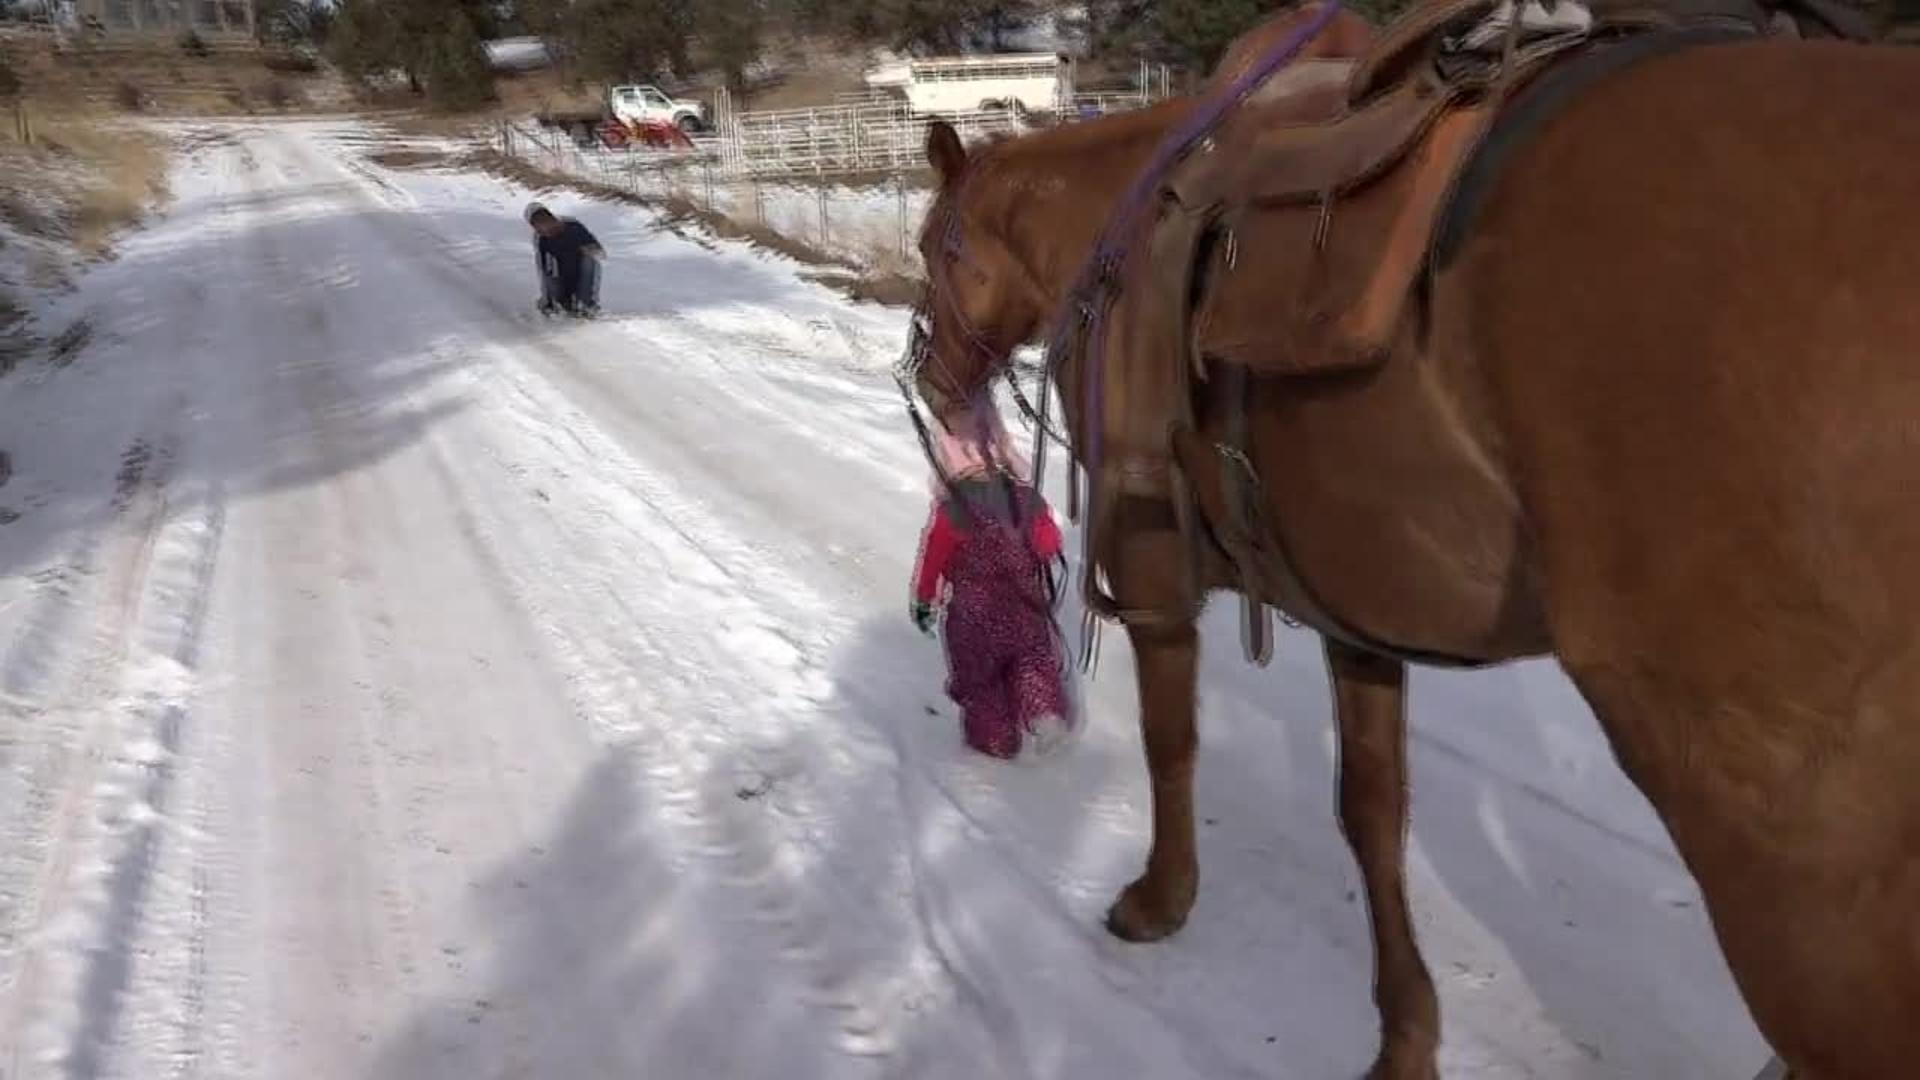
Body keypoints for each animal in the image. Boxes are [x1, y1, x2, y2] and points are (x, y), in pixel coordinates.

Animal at [905, 2, 1917, 1078]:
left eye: (934, 246)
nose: (931, 377)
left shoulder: (1150, 566)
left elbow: (1170, 740)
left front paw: (1158, 898)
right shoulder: (1355, 606)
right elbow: (1373, 812)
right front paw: (1405, 1034)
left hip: (1792, 852)